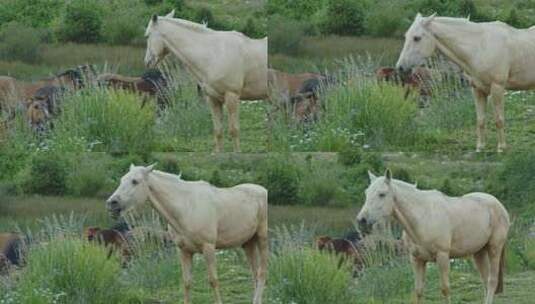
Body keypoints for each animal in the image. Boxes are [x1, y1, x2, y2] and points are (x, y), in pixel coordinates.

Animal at [107, 165, 270, 302]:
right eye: (122, 179)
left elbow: (213, 280)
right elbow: (187, 282)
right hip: (248, 243)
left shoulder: (208, 248)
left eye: (135, 181)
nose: (111, 203)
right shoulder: (184, 251)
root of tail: (262, 190)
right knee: (254, 274)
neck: (187, 207)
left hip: (262, 238)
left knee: (262, 272)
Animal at [144, 10, 268, 153]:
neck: (214, 54)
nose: (147, 62)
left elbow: (234, 129)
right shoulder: (213, 99)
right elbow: (218, 130)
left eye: (147, 35)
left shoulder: (232, 96)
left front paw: (237, 153)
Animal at [356, 169, 510, 304]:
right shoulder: (416, 259)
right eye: (366, 193)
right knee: (485, 280)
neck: (423, 217)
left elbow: (445, 289)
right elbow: (418, 290)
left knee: (492, 281)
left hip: (494, 248)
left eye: (382, 194)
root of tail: (499, 205)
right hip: (479, 252)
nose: (361, 221)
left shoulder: (442, 257)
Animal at [396, 13, 535, 152]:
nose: (400, 67)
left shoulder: (497, 88)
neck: (480, 47)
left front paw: (501, 148)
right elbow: (480, 120)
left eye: (417, 38)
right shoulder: (477, 89)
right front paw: (480, 147)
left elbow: (499, 120)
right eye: (406, 36)